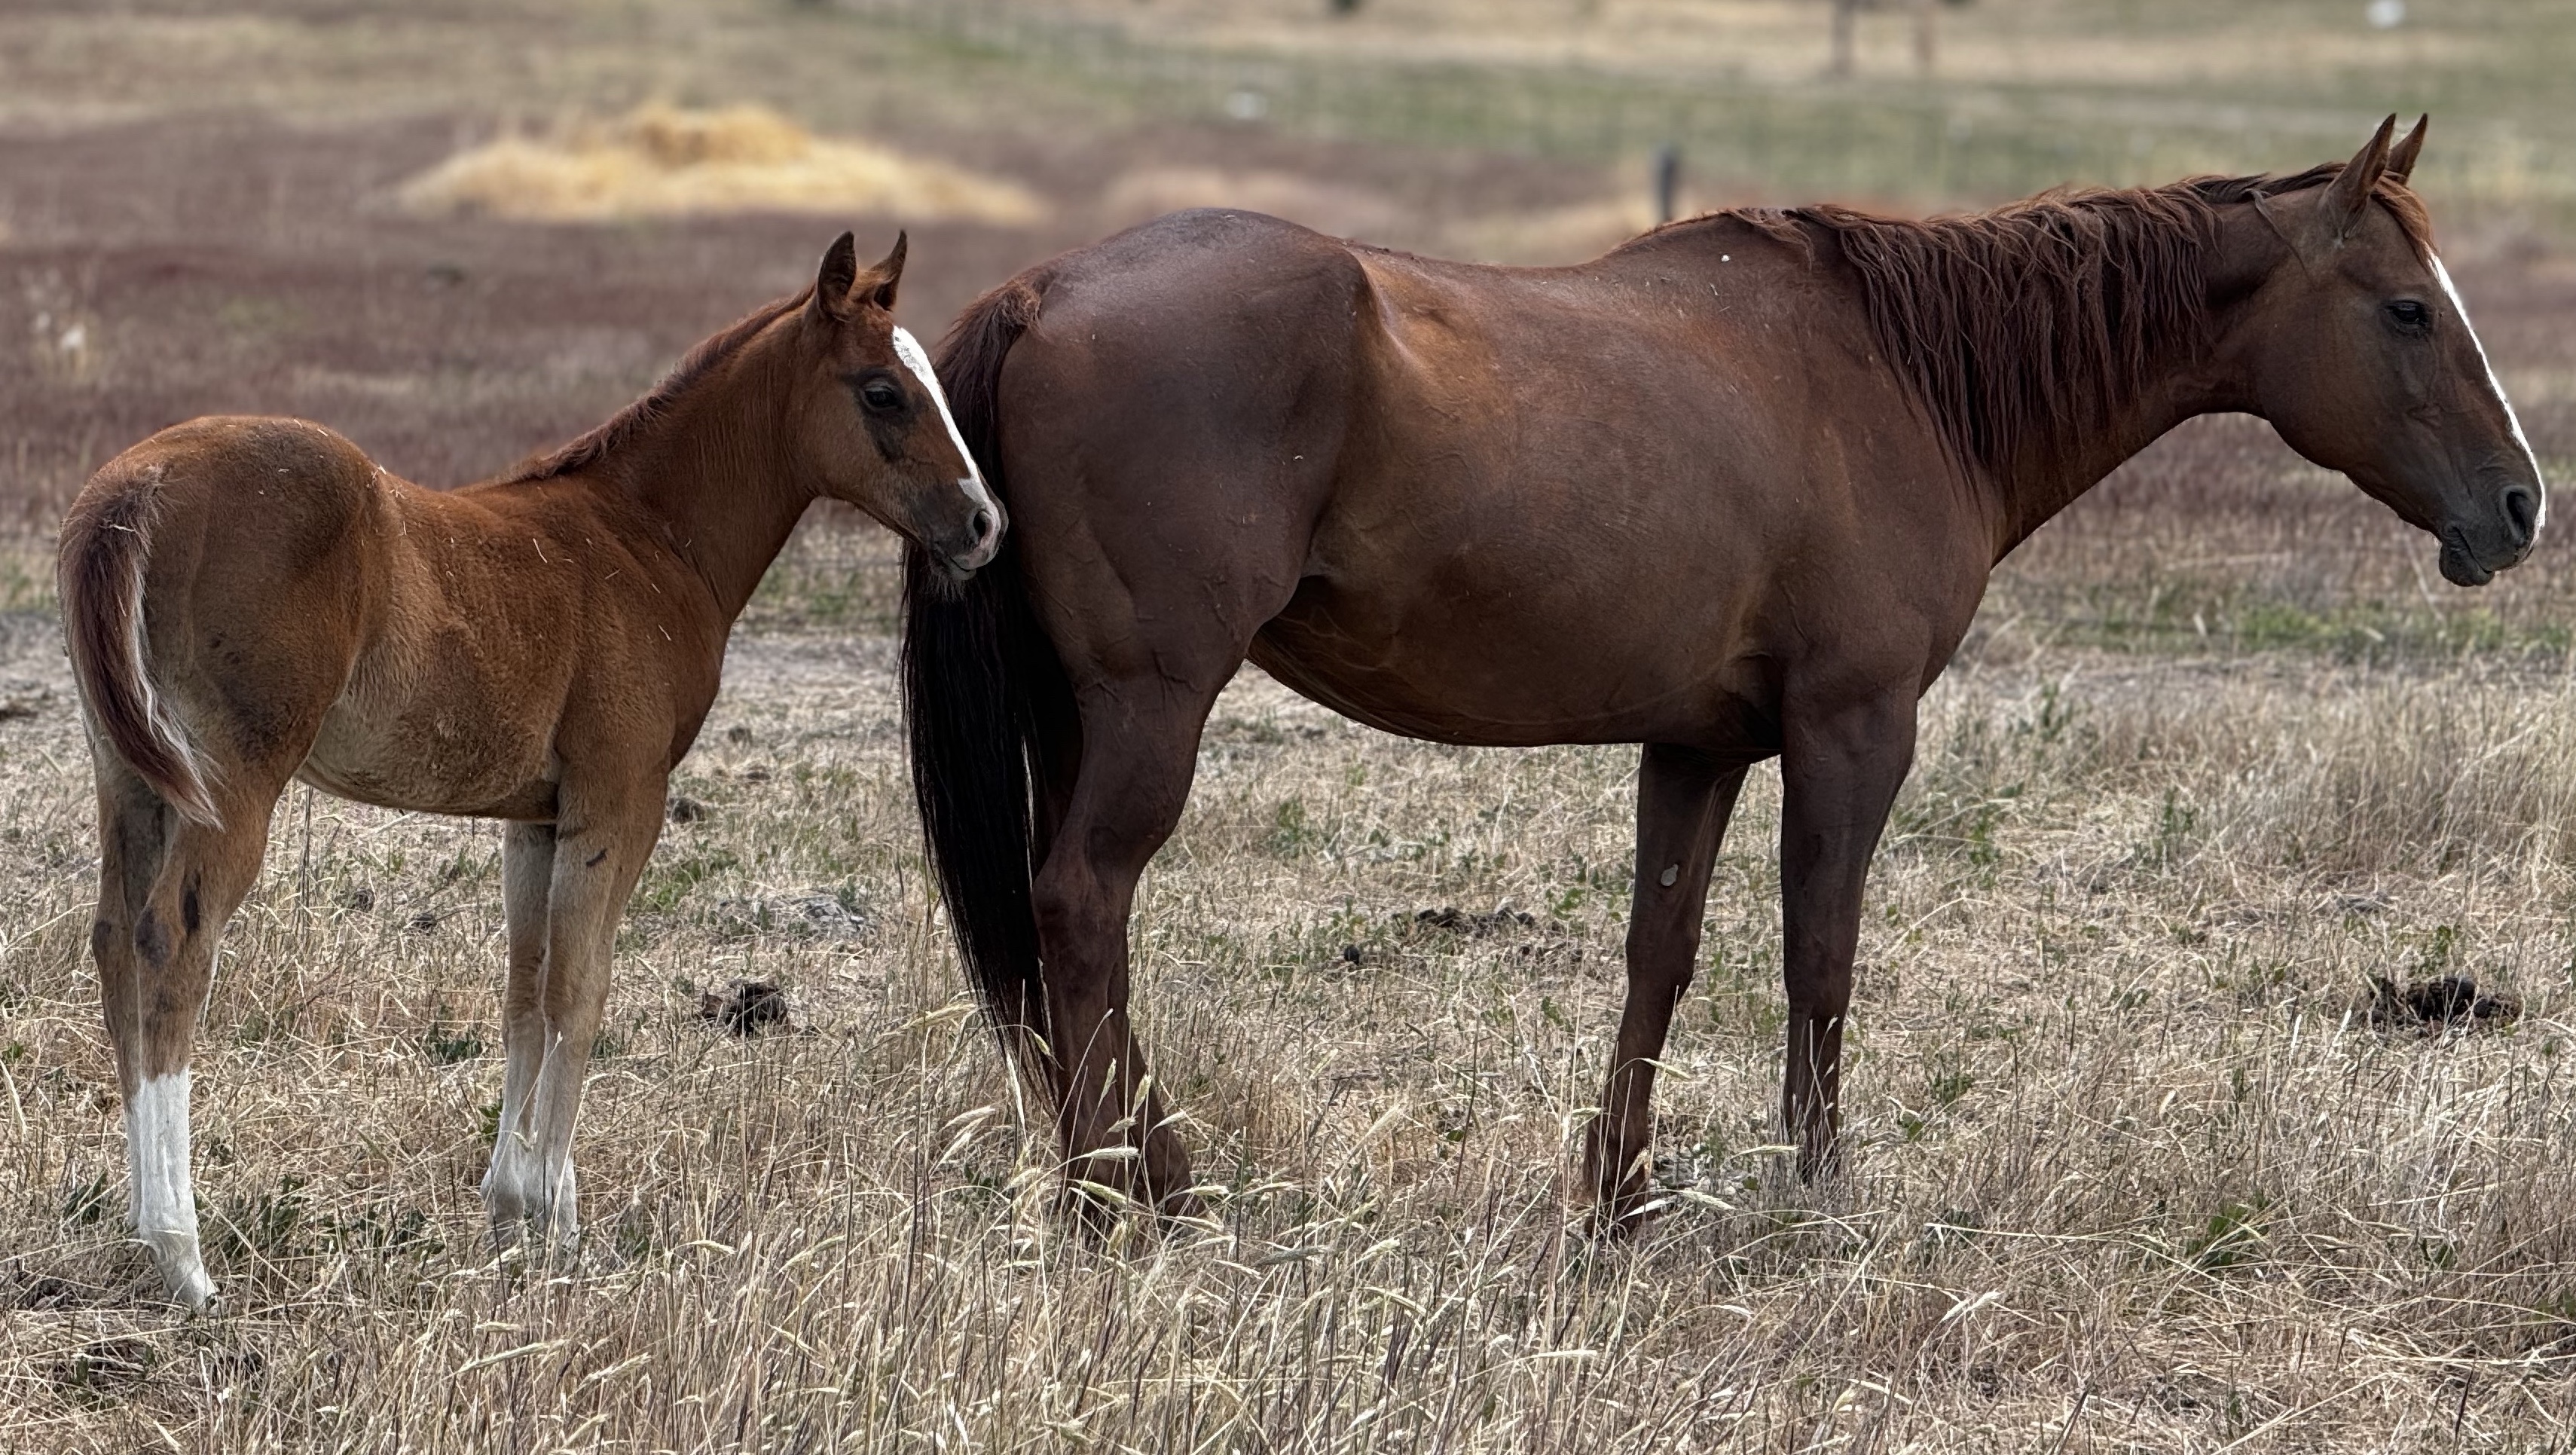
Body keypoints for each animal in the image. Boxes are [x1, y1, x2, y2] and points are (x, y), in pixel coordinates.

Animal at [58, 231, 998, 1309]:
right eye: (883, 391)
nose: (984, 524)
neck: (644, 535)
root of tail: (132, 491)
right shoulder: (619, 801)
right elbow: (579, 991)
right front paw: (553, 1214)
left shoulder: (535, 818)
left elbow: (524, 988)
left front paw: (515, 1204)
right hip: (231, 787)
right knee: (171, 943)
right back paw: (182, 1254)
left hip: (133, 778)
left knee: (114, 940)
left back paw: (142, 1228)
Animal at [902, 115, 2542, 1229]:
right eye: (2405, 309)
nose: (2520, 504)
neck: (1902, 372)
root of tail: (1043, 291)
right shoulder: (1849, 730)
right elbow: (1819, 954)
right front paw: (1814, 1192)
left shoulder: (1693, 746)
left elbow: (1660, 953)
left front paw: (1615, 1192)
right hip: (1149, 708)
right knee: (1080, 905)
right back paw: (1135, 1187)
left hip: (1084, 712)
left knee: (1054, 927)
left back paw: (1104, 1174)